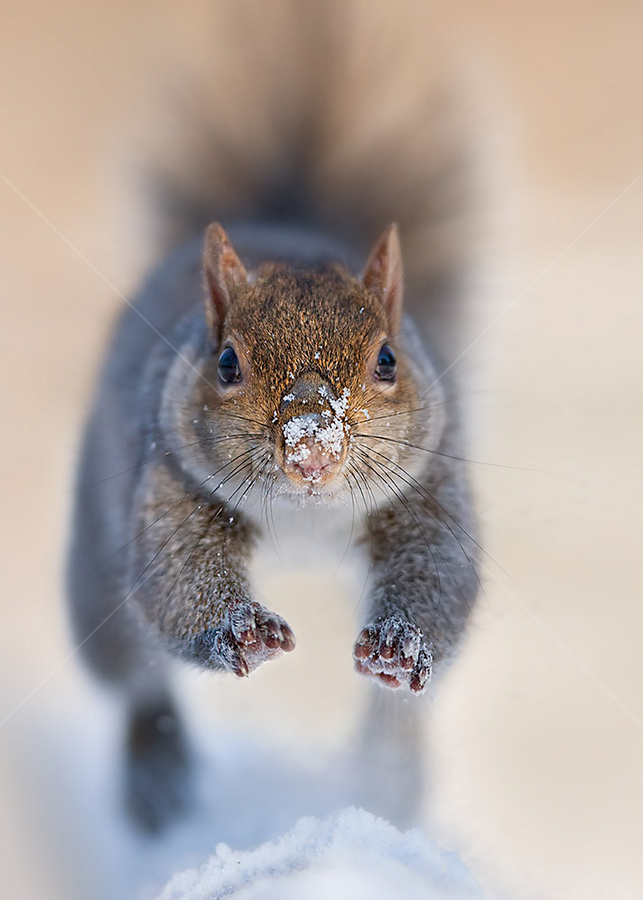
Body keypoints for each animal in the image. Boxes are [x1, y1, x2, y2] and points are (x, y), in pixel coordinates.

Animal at [67, 3, 482, 833]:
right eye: (227, 362)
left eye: (388, 359)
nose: (310, 449)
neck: (303, 520)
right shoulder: (168, 484)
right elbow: (176, 579)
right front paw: (242, 631)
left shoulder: (429, 490)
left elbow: (440, 576)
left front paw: (399, 646)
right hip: (95, 579)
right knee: (138, 684)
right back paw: (156, 779)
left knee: (392, 721)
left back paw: (389, 780)